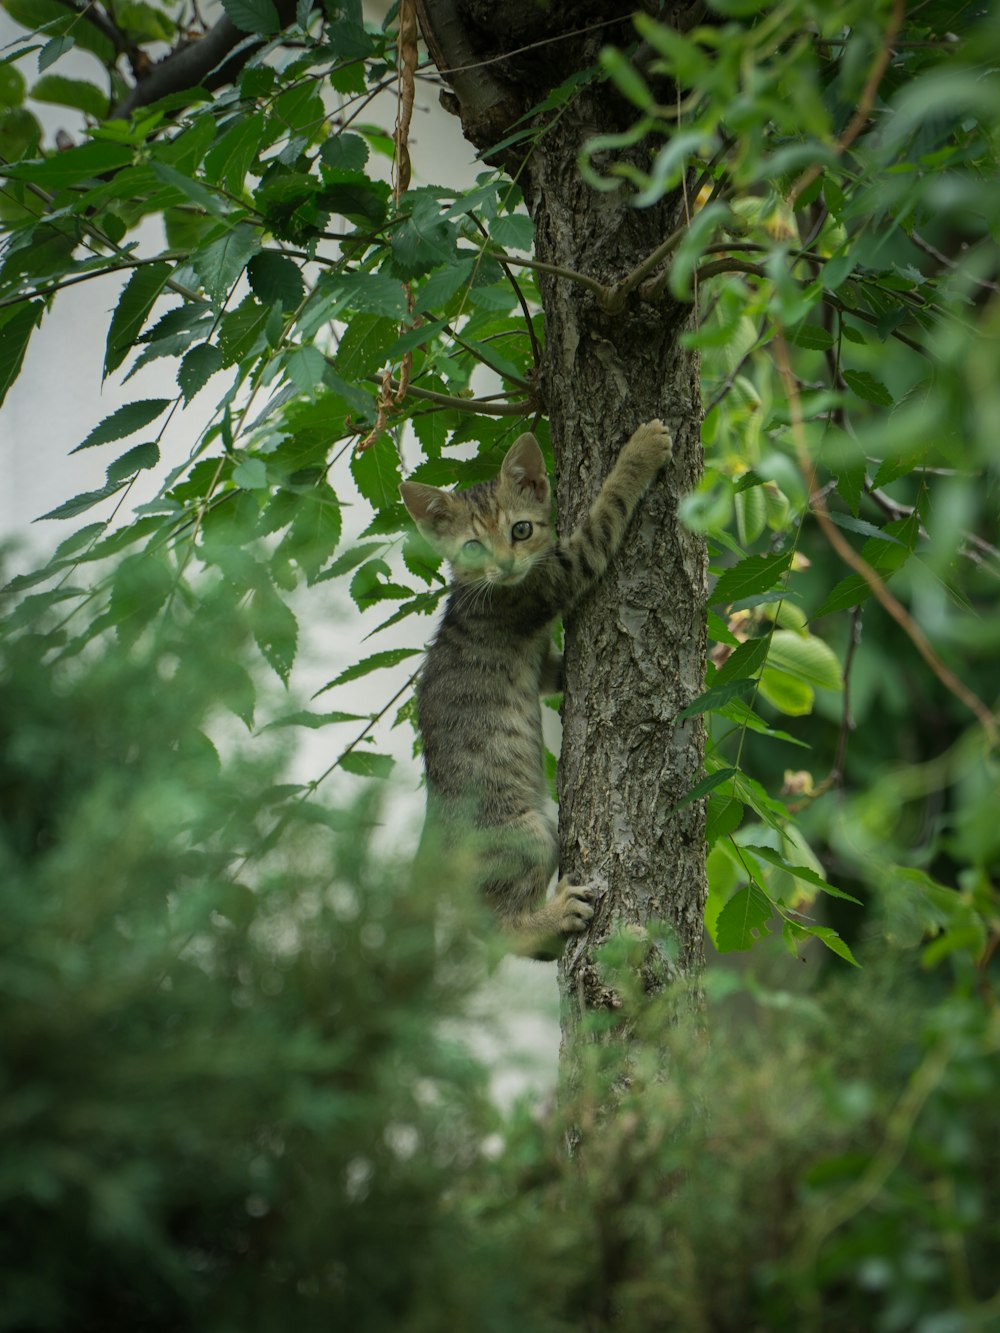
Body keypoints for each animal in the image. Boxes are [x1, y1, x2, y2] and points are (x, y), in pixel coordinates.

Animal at [400, 415, 674, 959]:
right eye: (473, 546)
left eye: (520, 529)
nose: (506, 565)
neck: (481, 588)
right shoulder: (558, 576)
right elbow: (605, 512)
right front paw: (640, 452)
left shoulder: (540, 650)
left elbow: (553, 672)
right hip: (529, 832)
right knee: (496, 930)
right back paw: (555, 915)